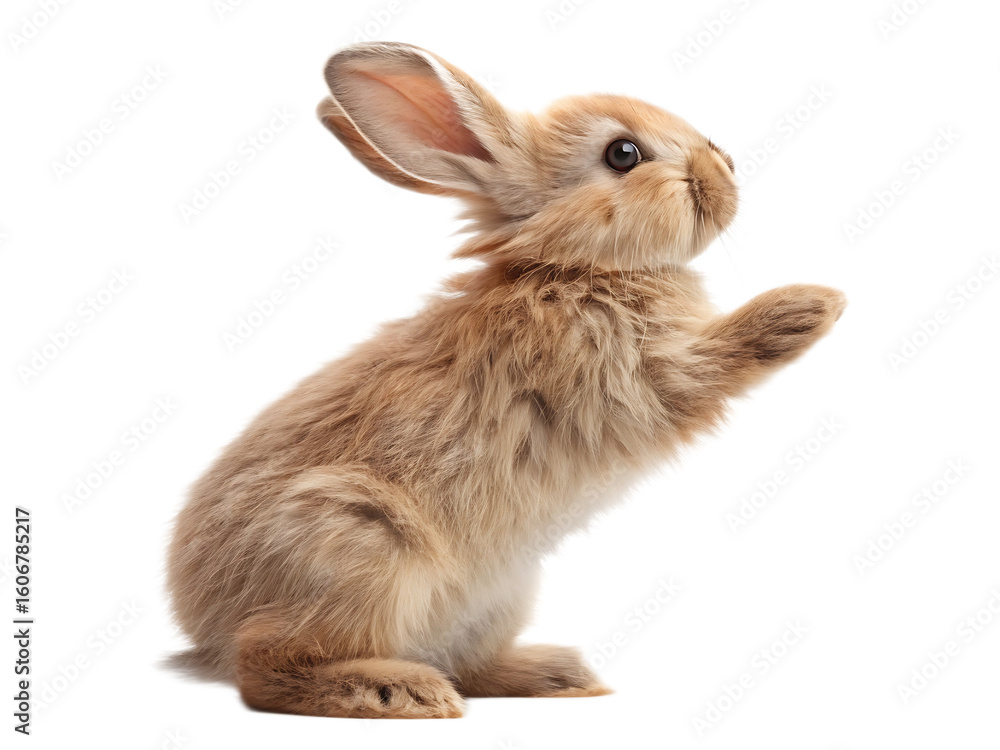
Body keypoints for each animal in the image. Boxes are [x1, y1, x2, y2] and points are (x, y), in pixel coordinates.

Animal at [167, 41, 846, 719]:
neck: (572, 268)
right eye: (623, 154)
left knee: (467, 664)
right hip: (358, 544)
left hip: (499, 597)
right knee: (265, 665)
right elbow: (707, 365)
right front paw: (809, 308)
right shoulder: (634, 377)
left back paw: (558, 675)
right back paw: (397, 690)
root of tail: (205, 630)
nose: (725, 168)